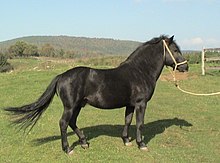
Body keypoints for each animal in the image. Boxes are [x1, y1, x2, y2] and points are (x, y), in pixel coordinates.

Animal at [4, 35, 188, 154]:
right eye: (175, 49)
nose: (185, 67)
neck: (140, 71)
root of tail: (61, 76)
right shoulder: (141, 103)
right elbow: (140, 123)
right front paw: (141, 144)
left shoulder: (130, 104)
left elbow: (128, 121)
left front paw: (126, 140)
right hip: (70, 106)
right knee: (64, 123)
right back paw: (68, 149)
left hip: (78, 105)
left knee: (72, 122)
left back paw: (84, 142)